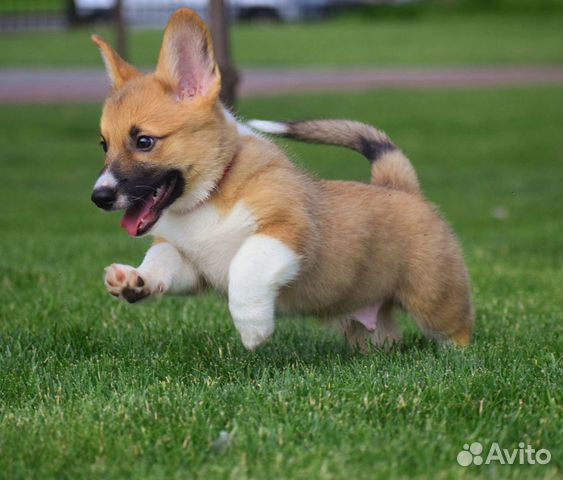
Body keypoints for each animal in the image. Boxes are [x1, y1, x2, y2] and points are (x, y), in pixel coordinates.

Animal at [90, 8, 474, 352]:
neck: (210, 196)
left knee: (457, 329)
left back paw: (458, 357)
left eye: (144, 142)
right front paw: (132, 281)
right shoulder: (189, 262)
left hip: (434, 299)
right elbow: (160, 263)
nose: (99, 198)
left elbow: (246, 265)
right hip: (371, 324)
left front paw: (253, 330)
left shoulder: (286, 231)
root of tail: (400, 186)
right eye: (104, 144)